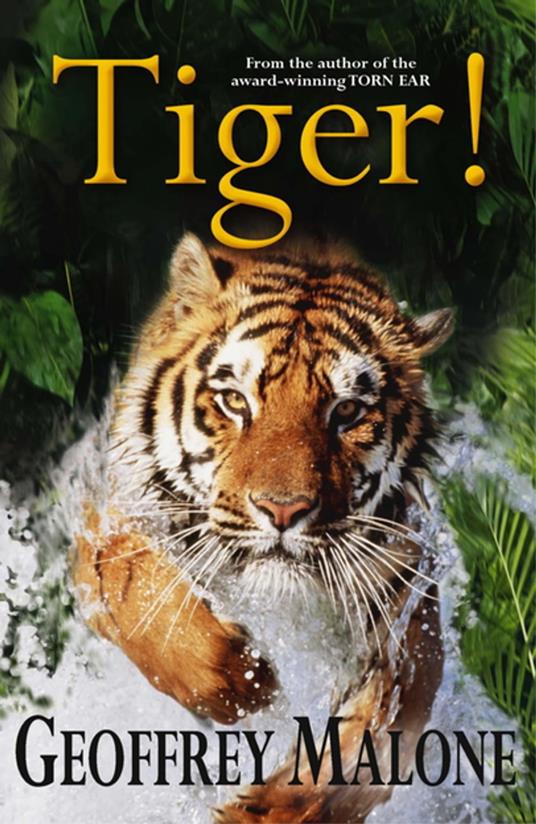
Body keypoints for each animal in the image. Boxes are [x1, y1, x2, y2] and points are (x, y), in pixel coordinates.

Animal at [73, 231, 453, 822]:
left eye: (346, 412)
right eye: (235, 400)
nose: (283, 511)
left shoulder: (409, 620)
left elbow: (367, 749)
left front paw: (266, 809)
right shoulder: (107, 520)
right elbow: (135, 590)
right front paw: (244, 682)